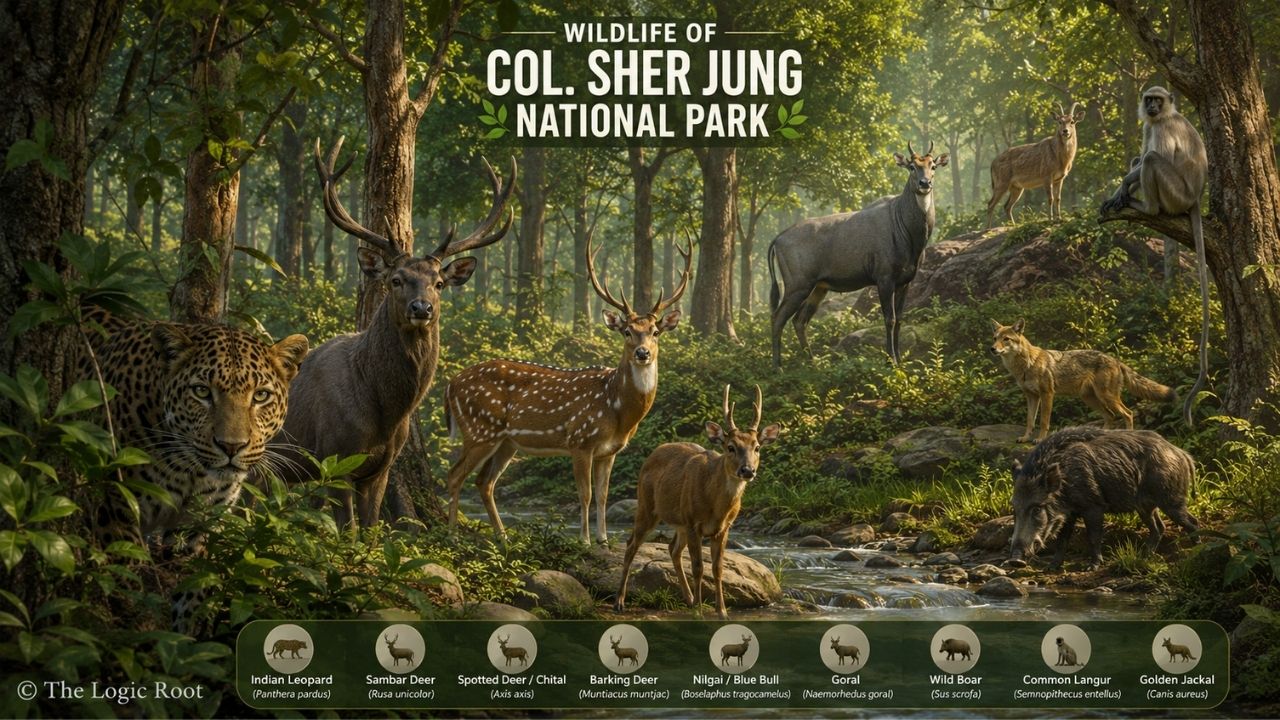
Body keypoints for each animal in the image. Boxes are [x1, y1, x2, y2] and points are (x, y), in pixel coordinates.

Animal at [274, 138, 515, 528]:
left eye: (439, 283)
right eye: (396, 280)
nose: (421, 308)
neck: (384, 411)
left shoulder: (380, 468)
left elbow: (370, 529)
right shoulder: (334, 458)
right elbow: (347, 531)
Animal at [444, 236, 693, 544]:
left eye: (655, 332)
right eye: (627, 331)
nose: (643, 353)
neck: (618, 410)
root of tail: (450, 384)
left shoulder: (609, 451)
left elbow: (603, 496)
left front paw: (603, 539)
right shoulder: (580, 440)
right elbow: (585, 494)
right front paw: (585, 540)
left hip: (505, 441)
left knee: (484, 482)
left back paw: (503, 536)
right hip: (480, 429)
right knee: (455, 475)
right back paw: (452, 535)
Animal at [614, 385, 782, 620]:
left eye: (757, 447)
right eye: (731, 447)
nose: (748, 470)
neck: (716, 507)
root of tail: (652, 454)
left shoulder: (723, 528)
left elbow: (717, 569)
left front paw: (721, 612)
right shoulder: (694, 523)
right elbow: (698, 567)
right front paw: (700, 612)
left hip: (680, 522)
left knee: (673, 548)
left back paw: (689, 598)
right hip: (647, 506)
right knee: (631, 545)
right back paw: (619, 601)